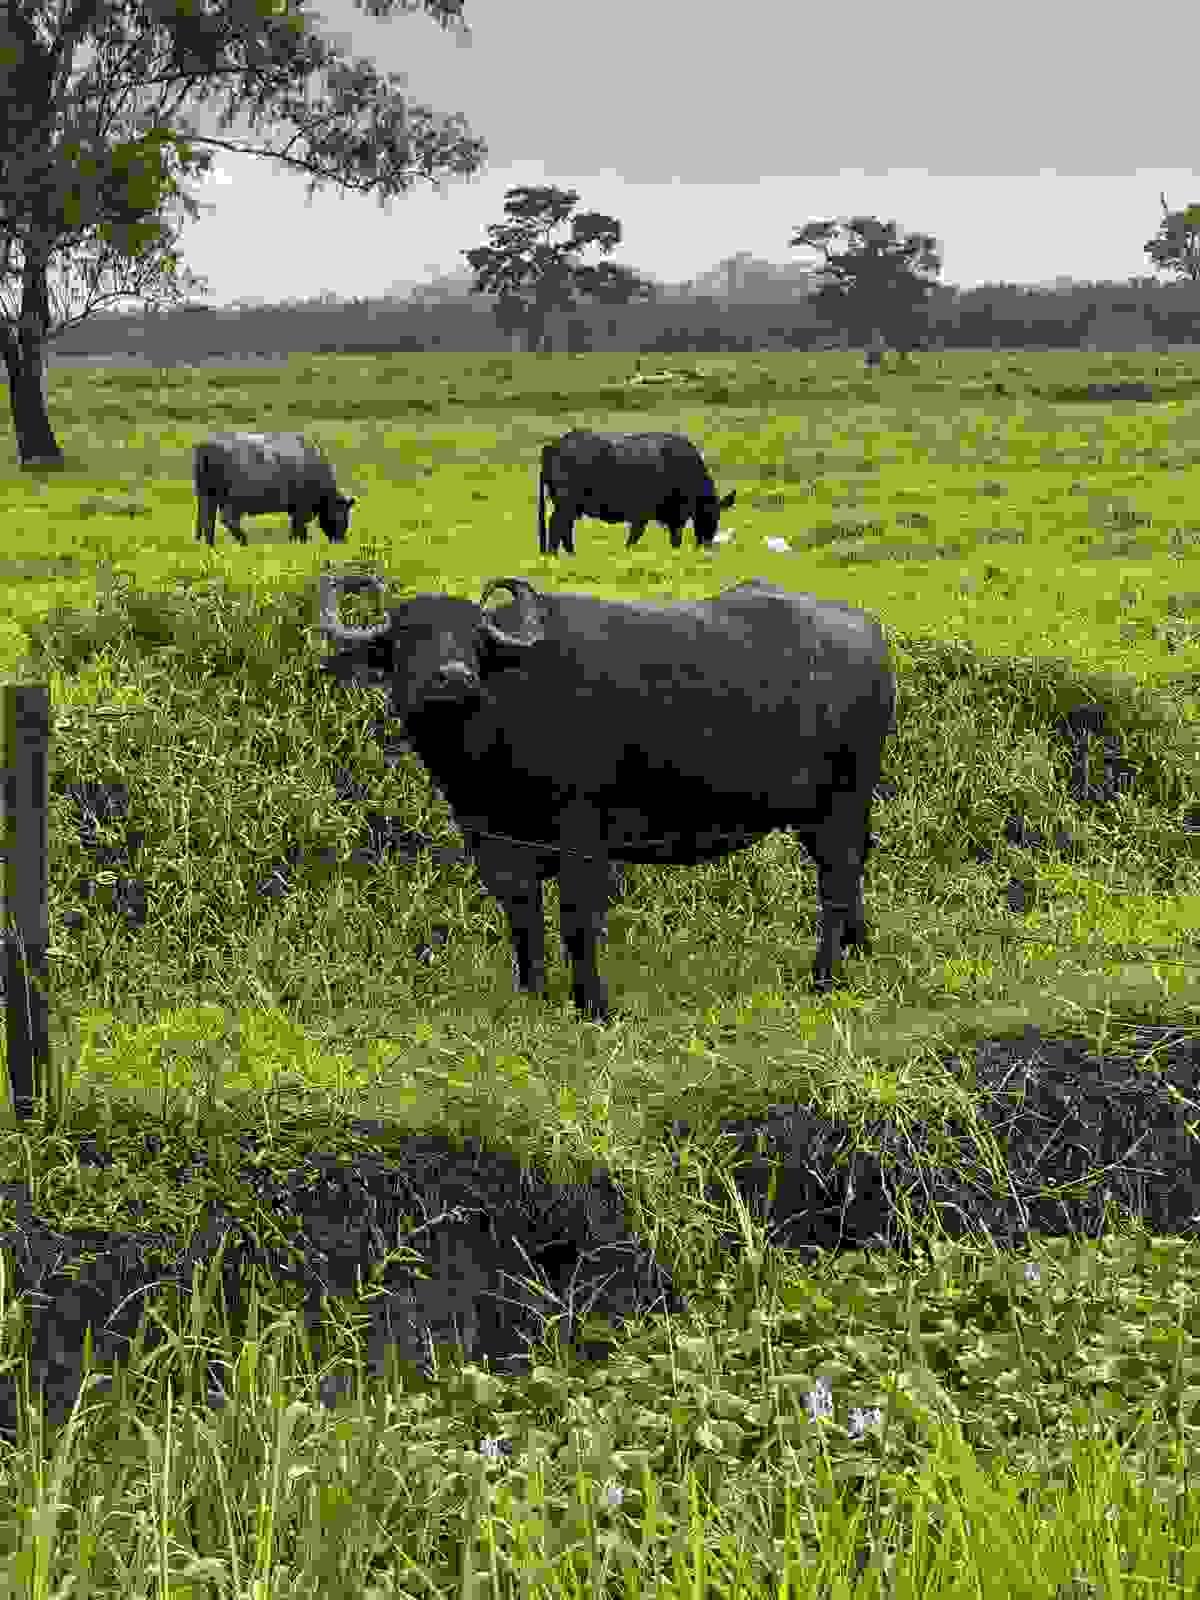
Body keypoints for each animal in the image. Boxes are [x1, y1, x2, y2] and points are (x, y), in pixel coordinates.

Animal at [194, 431, 355, 547]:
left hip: (206, 496)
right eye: (342, 515)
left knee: (206, 522)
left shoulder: (296, 509)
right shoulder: (302, 508)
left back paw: (211, 547)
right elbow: (299, 529)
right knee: (227, 520)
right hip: (233, 499)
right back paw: (245, 542)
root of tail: (206, 444)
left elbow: (296, 529)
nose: (341, 541)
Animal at [318, 575, 895, 1021]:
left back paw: (824, 976)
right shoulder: (492, 840)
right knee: (851, 871)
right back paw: (858, 949)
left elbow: (576, 921)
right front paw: (531, 994)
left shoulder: (582, 835)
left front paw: (592, 1006)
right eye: (407, 638)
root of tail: (869, 633)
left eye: (473, 640)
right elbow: (523, 918)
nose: (454, 678)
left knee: (837, 881)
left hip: (840, 802)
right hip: (824, 812)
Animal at [537, 430, 736, 555]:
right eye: (710, 514)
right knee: (557, 525)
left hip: (570, 506)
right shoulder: (648, 514)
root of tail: (555, 445)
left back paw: (571, 555)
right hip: (567, 503)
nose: (706, 545)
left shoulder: (669, 516)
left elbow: (673, 539)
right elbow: (635, 537)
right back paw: (554, 555)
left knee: (565, 528)